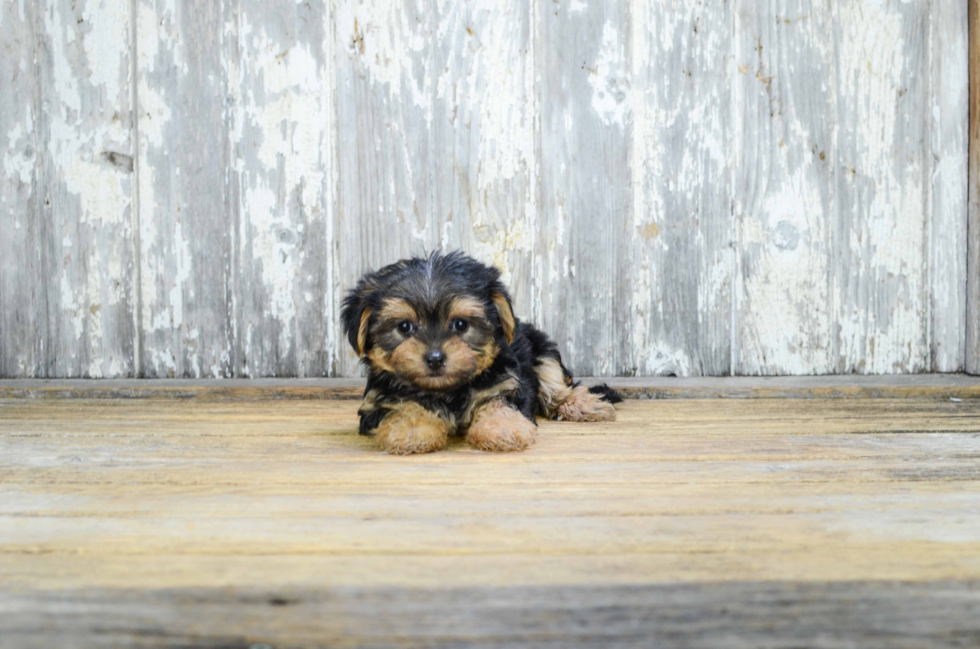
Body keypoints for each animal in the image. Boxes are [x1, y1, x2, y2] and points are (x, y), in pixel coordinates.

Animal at [340, 251, 624, 454]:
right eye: (404, 327)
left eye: (460, 325)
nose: (435, 358)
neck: (447, 391)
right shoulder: (378, 400)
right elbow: (403, 407)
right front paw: (412, 428)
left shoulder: (506, 383)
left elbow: (499, 404)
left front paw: (503, 427)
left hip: (541, 349)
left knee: (556, 386)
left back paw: (584, 404)